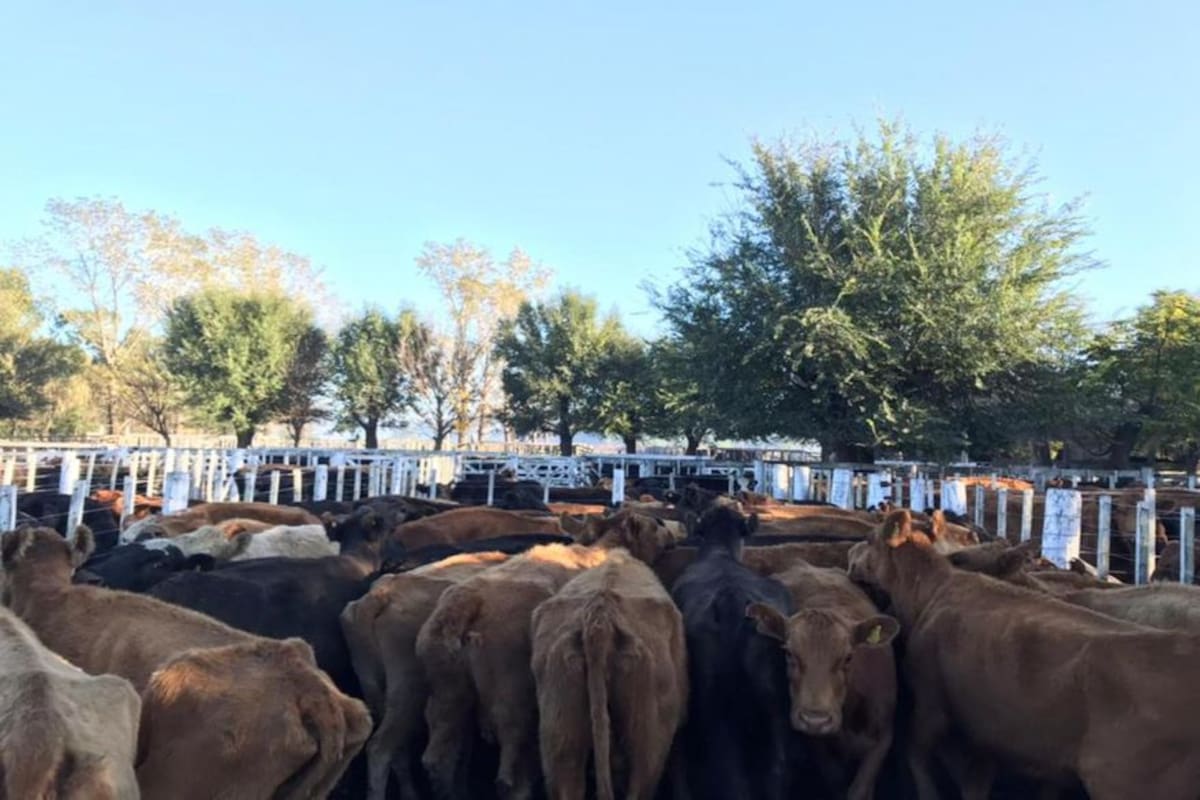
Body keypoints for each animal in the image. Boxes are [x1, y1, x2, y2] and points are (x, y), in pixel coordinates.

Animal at [747, 561, 898, 800]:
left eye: (848, 657)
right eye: (789, 653)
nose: (815, 720)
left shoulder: (884, 736)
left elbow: (860, 789)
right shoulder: (817, 746)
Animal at [848, 509, 1200, 799]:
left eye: (869, 539)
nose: (850, 556)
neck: (931, 592)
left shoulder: (930, 701)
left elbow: (917, 757)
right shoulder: (985, 732)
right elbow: (976, 782)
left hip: (1124, 781)